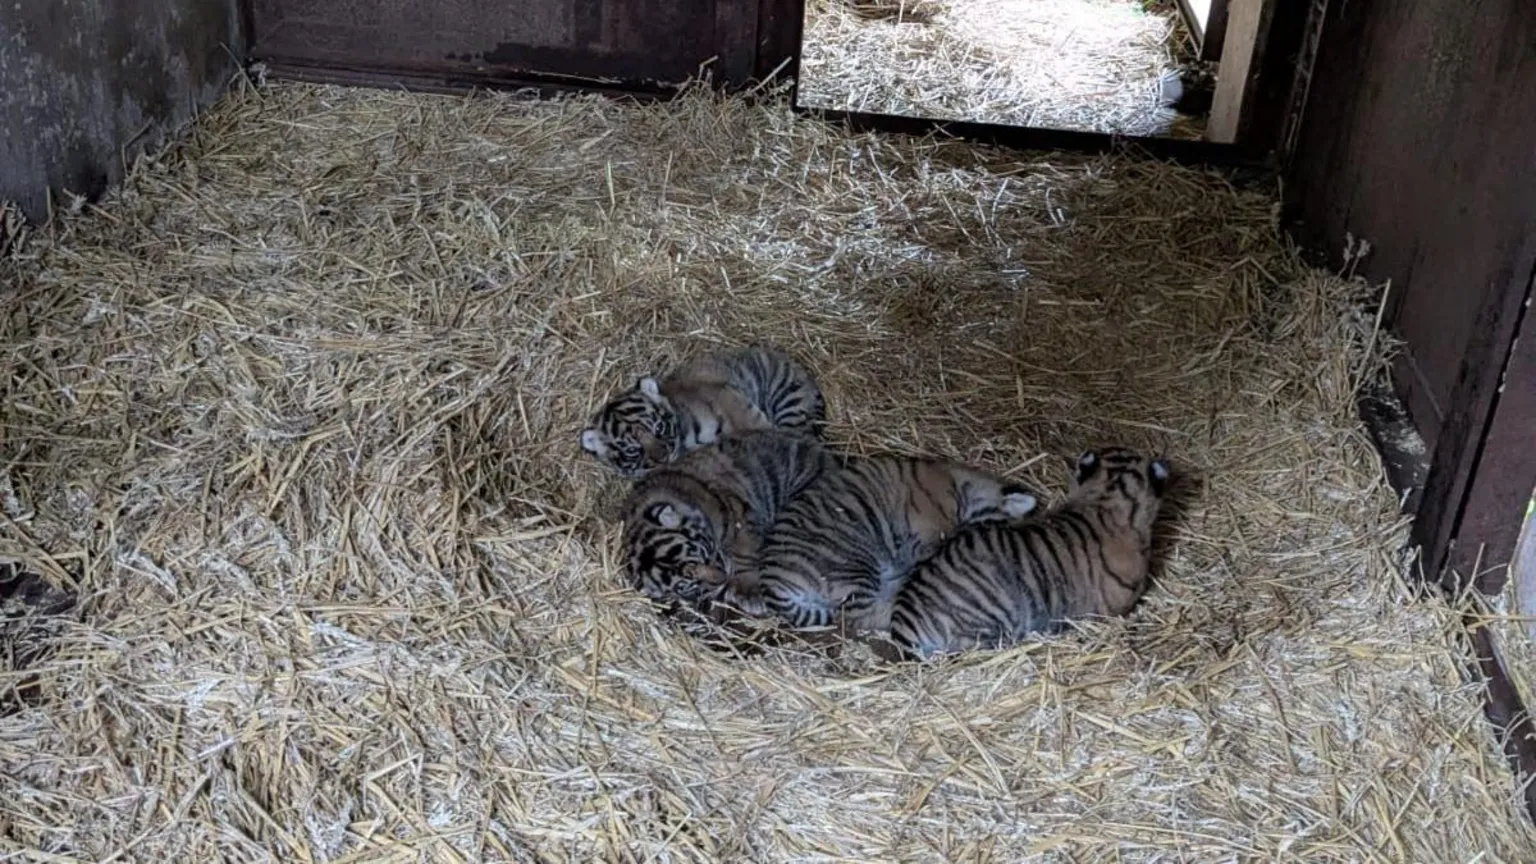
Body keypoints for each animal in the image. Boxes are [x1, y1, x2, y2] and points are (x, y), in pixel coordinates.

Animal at [619, 429, 835, 621]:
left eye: (705, 555)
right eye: (690, 584)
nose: (722, 578)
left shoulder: (741, 514)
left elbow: (745, 554)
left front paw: (749, 592)